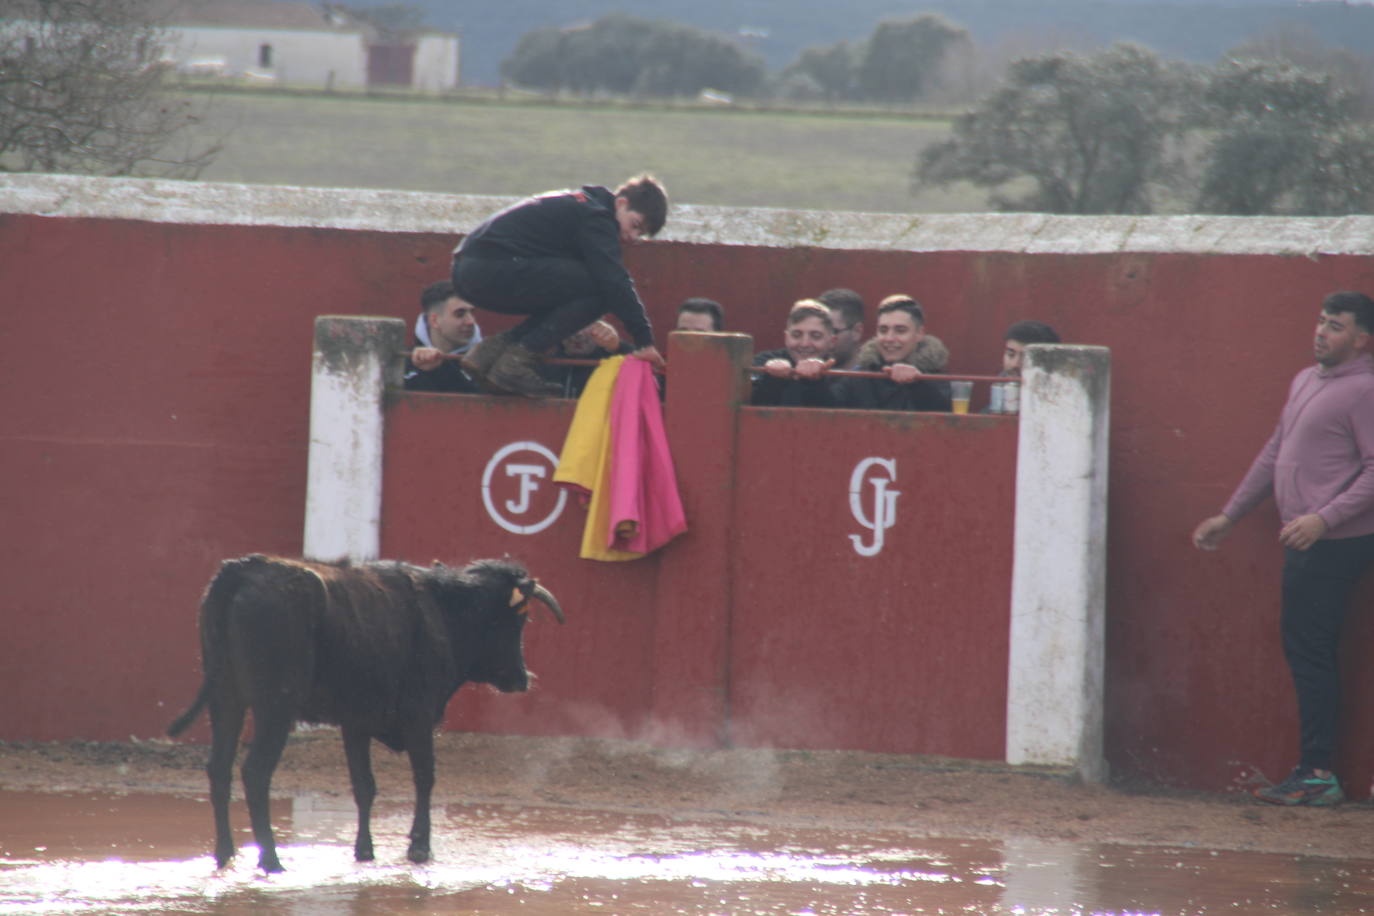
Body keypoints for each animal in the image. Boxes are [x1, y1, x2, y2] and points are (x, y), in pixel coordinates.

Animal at [167, 552, 563, 873]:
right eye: (518, 622)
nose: (522, 678)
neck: (443, 612)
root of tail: (242, 570)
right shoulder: (418, 716)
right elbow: (424, 777)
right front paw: (419, 848)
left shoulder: (355, 722)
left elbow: (364, 785)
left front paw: (365, 851)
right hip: (274, 707)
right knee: (255, 772)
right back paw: (271, 860)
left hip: (225, 699)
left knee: (219, 769)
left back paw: (225, 854)